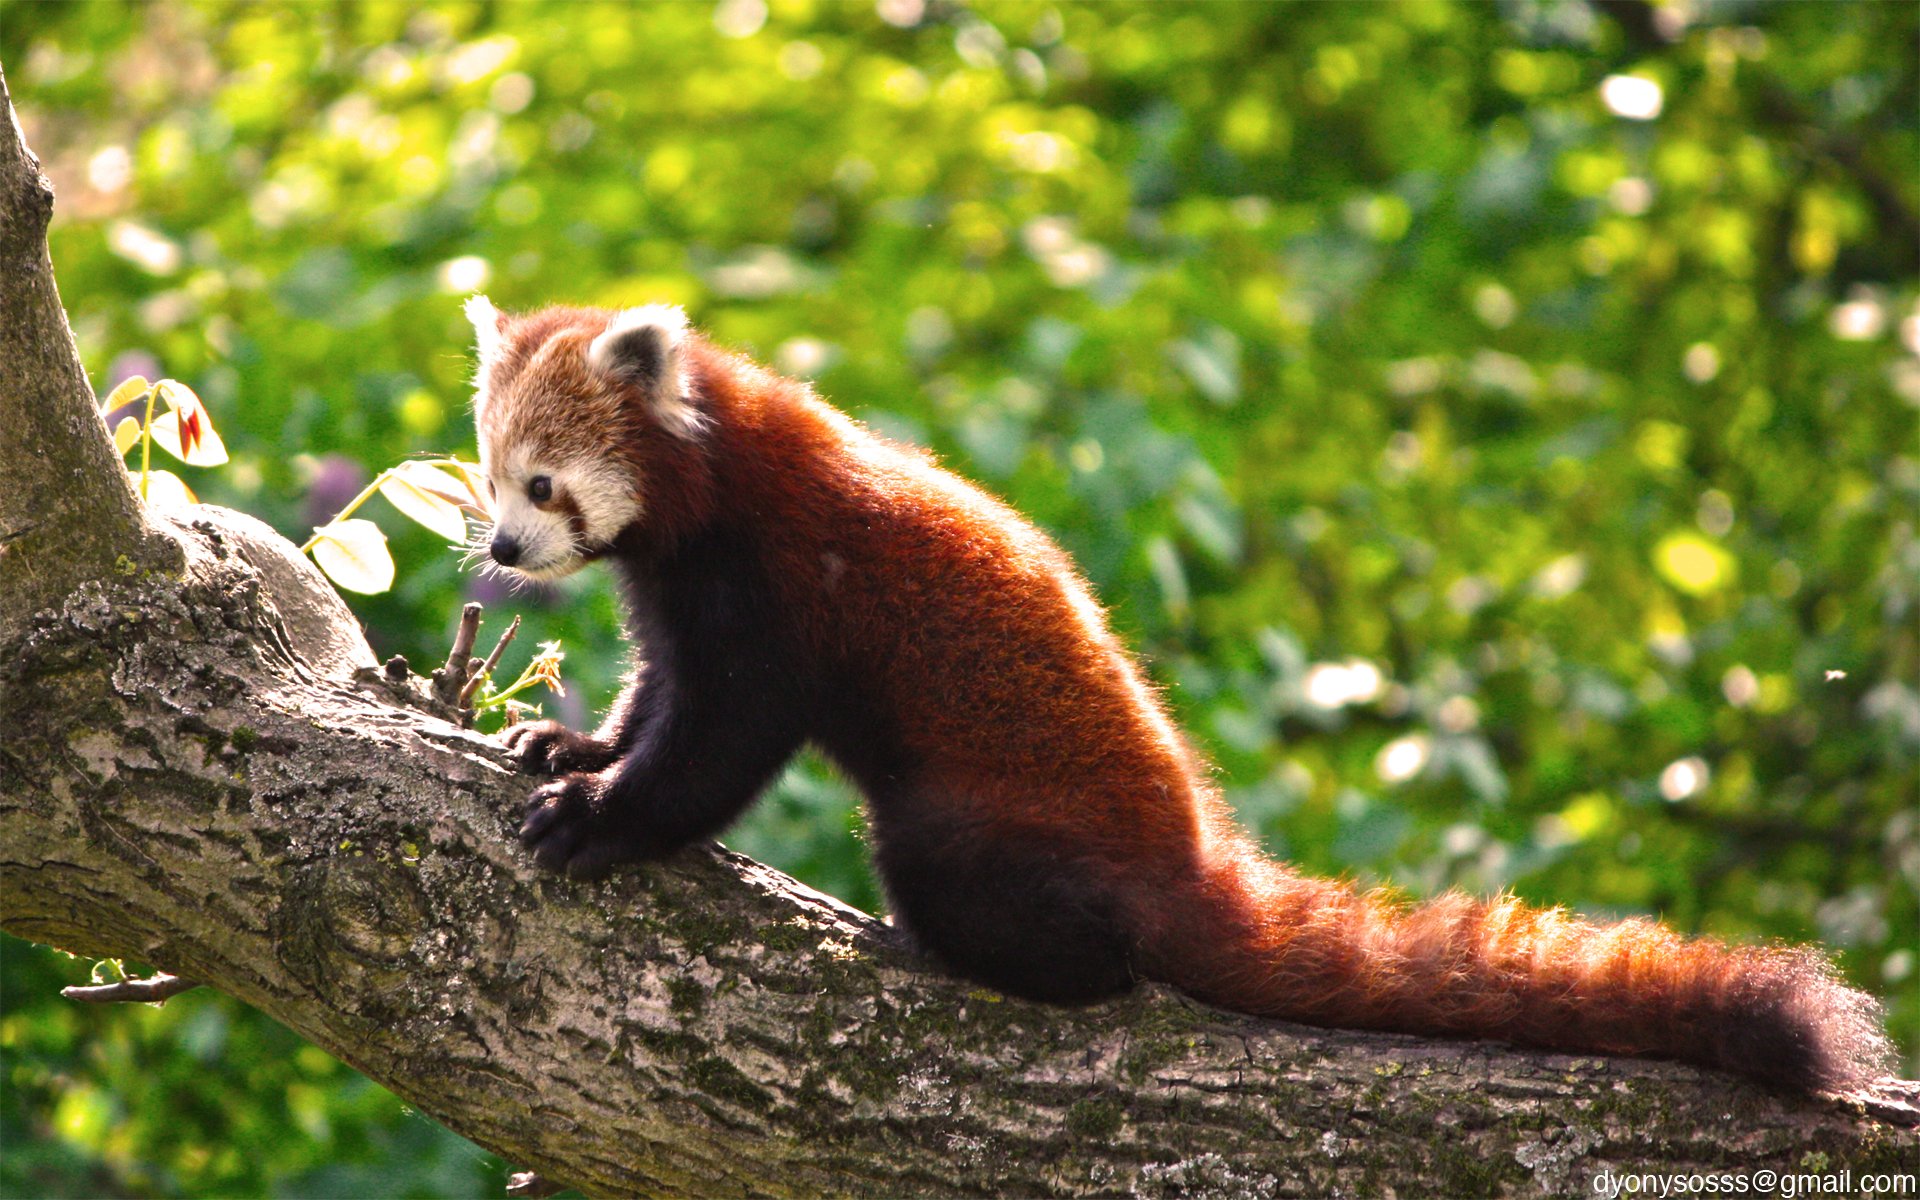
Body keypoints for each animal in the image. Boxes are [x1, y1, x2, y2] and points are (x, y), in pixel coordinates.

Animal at [460, 295, 1889, 1090]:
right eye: (489, 471)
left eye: (543, 484)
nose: (503, 551)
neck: (707, 478)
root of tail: (1192, 855)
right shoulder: (677, 595)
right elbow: (658, 699)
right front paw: (571, 748)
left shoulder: (775, 585)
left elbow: (721, 739)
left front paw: (603, 819)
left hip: (990, 821)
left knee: (989, 891)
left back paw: (989, 946)